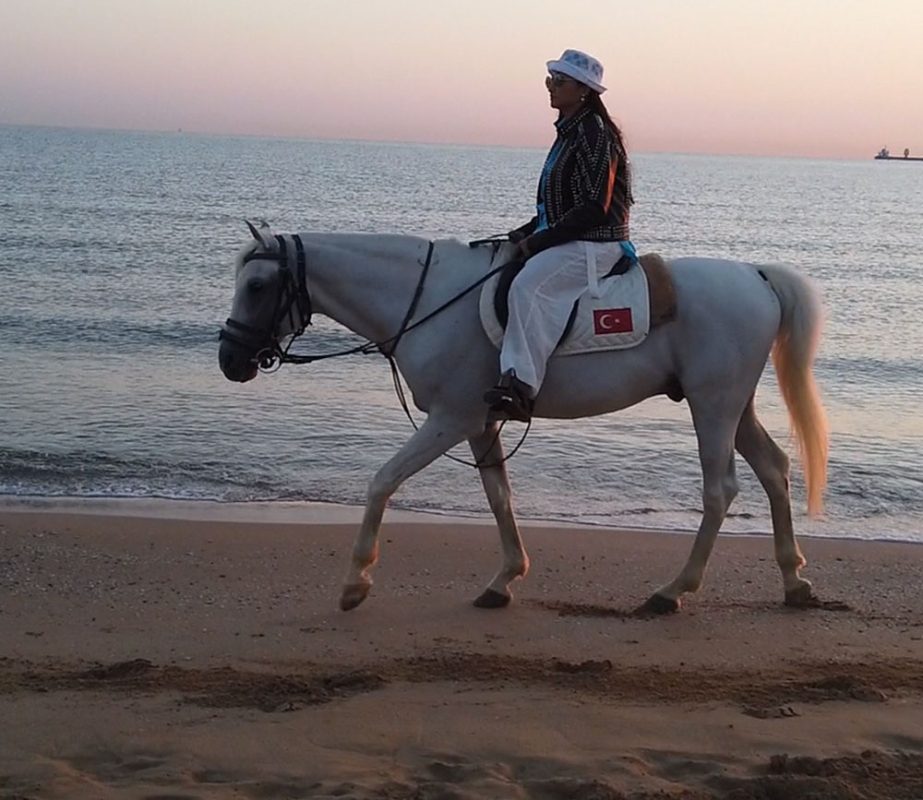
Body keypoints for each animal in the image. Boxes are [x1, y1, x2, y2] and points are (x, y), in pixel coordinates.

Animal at [218, 221, 828, 614]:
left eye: (257, 285)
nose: (230, 359)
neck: (429, 298)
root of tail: (756, 274)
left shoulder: (452, 419)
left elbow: (382, 481)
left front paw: (354, 582)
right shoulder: (482, 423)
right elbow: (499, 498)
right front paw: (505, 578)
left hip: (713, 404)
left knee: (720, 490)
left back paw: (672, 591)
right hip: (733, 405)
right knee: (774, 469)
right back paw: (793, 580)